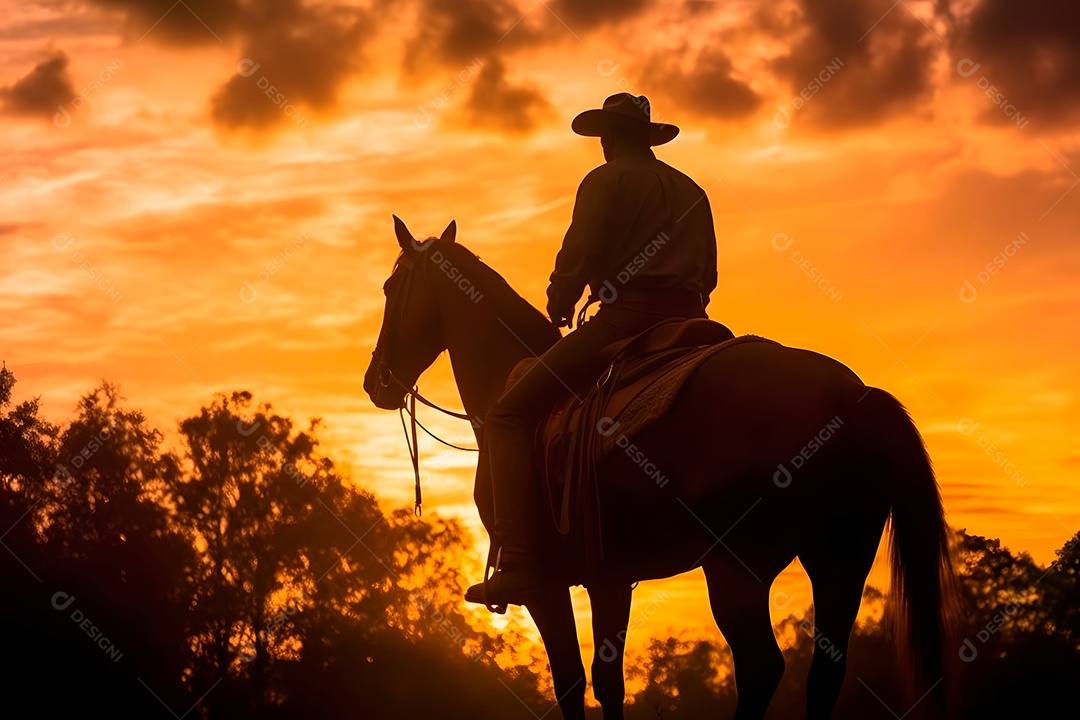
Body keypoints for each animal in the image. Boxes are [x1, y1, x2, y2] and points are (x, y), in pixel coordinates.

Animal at [363, 216, 958, 720]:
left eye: (391, 289)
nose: (376, 382)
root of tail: (850, 396)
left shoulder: (542, 586)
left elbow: (571, 682)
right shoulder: (609, 577)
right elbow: (607, 681)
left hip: (737, 567)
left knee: (762, 668)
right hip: (839, 560)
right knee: (824, 674)